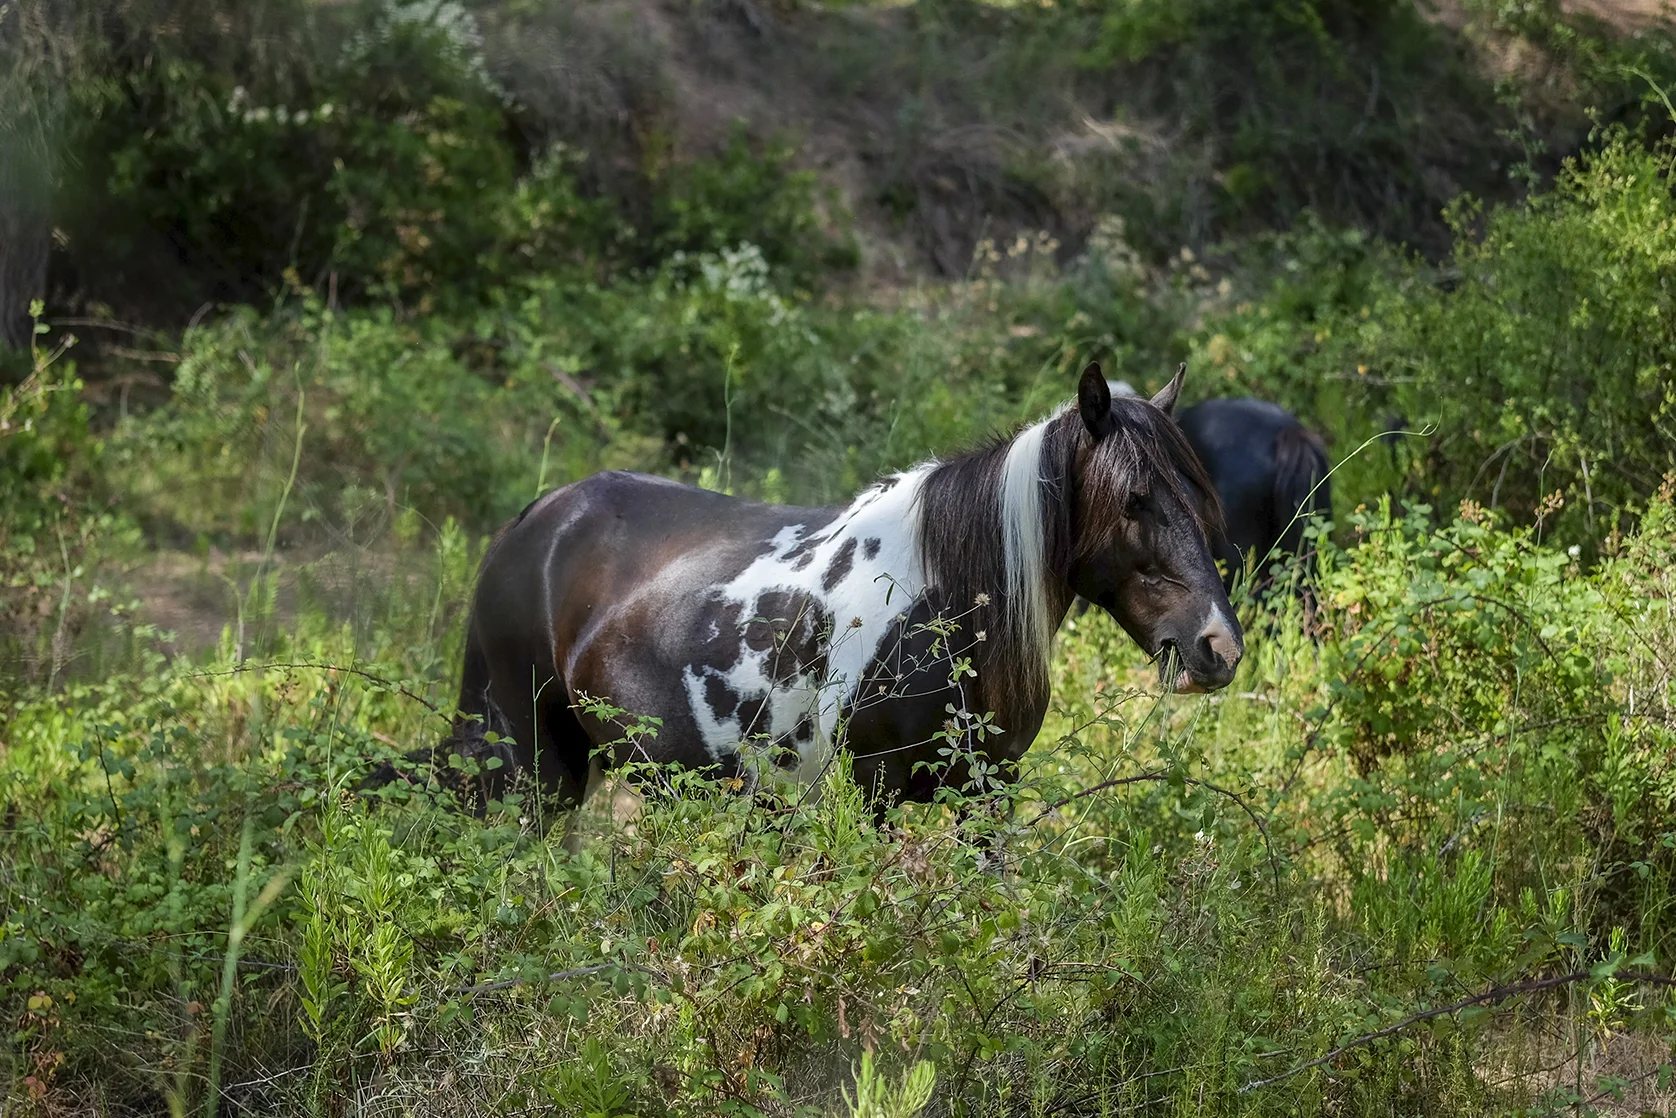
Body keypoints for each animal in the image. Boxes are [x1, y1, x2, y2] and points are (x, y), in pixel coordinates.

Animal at [444, 362, 1243, 811]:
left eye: (1200, 497)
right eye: (1136, 500)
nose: (1218, 648)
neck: (945, 605)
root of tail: (539, 518)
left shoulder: (988, 789)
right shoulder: (875, 792)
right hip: (529, 771)